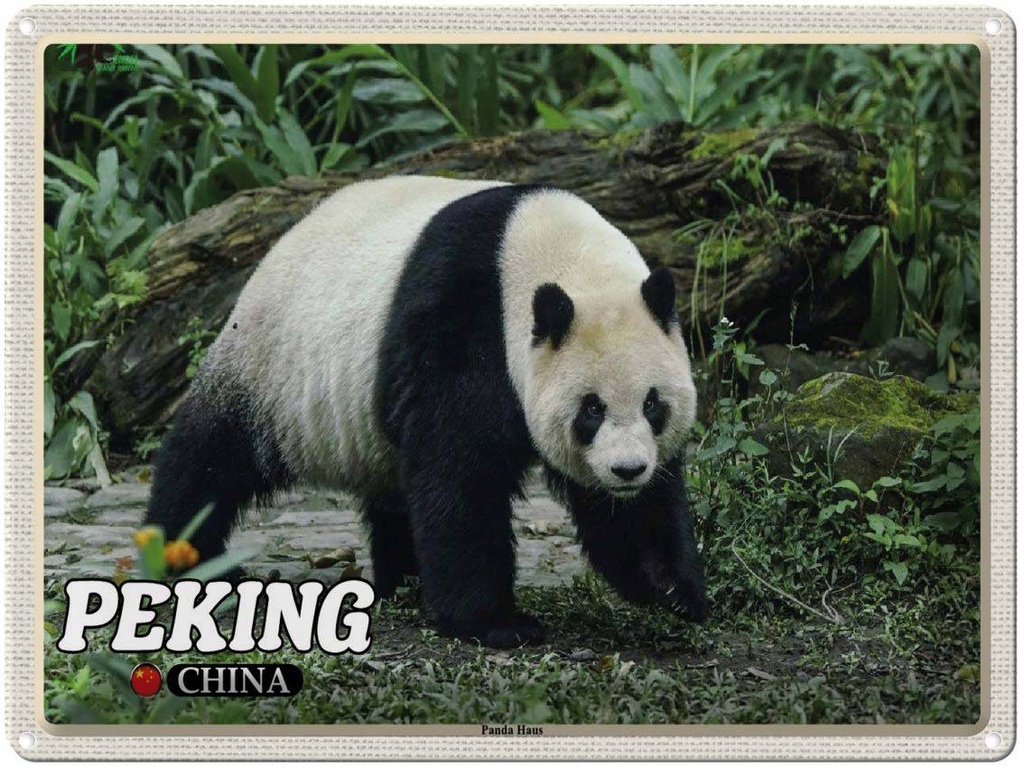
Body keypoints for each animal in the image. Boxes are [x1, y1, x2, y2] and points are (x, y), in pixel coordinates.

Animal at [145, 176, 708, 648]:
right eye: (591, 409)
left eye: (652, 404)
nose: (627, 470)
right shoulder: (463, 321)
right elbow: (459, 471)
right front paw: (495, 622)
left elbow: (633, 510)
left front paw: (670, 586)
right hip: (274, 370)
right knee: (211, 456)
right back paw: (187, 559)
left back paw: (403, 580)